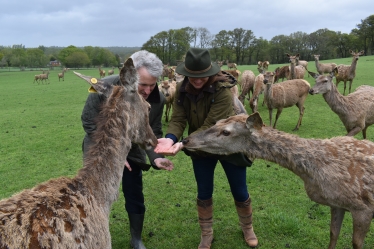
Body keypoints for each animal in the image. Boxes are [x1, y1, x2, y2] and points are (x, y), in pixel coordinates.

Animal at [183, 112, 374, 249]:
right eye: (217, 122)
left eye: (226, 132)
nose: (186, 139)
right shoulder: (337, 204)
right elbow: (333, 234)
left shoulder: (362, 207)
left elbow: (356, 243)